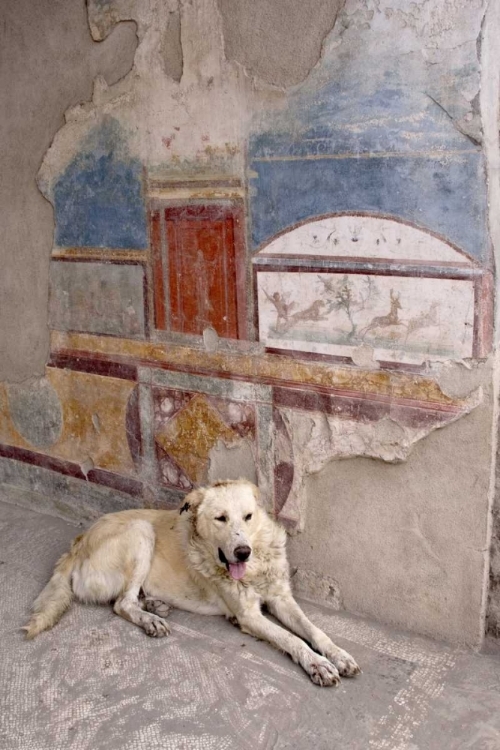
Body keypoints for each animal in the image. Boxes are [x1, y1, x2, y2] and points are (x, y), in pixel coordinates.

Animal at [24, 482, 360, 688]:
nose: (243, 552)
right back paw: (150, 619)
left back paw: (155, 604)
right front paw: (318, 665)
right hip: (140, 530)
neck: (254, 567)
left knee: (127, 598)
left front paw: (338, 655)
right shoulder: (249, 616)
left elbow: (314, 631)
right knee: (121, 603)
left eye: (248, 517)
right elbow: (292, 639)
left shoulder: (281, 598)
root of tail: (76, 544)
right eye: (220, 518)